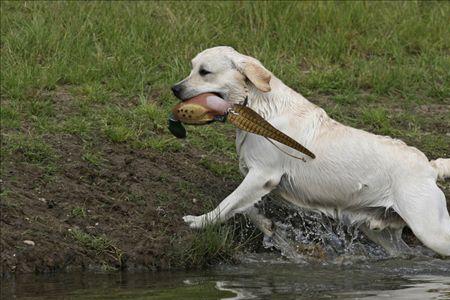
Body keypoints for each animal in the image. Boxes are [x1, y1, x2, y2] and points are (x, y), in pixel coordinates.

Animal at [171, 46, 450, 255]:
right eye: (191, 67)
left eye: (204, 72)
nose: (174, 88)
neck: (258, 107)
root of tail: (430, 166)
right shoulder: (259, 180)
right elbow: (242, 206)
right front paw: (268, 226)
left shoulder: (263, 175)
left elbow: (227, 203)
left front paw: (198, 221)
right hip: (379, 230)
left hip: (430, 229)